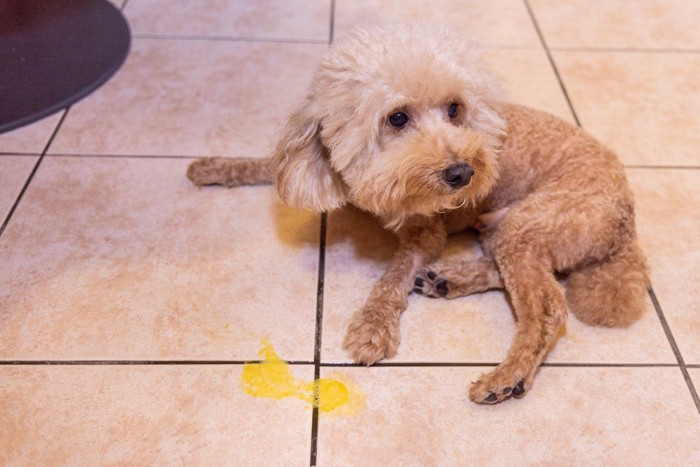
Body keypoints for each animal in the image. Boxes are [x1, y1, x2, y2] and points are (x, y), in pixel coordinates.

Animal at [187, 23, 652, 404]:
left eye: (454, 109)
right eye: (397, 118)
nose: (463, 172)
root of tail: (627, 218)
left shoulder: (425, 233)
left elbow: (392, 278)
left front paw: (373, 327)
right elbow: (266, 165)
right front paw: (213, 167)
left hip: (530, 224)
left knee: (548, 307)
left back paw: (506, 377)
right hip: (505, 230)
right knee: (517, 275)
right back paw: (448, 279)